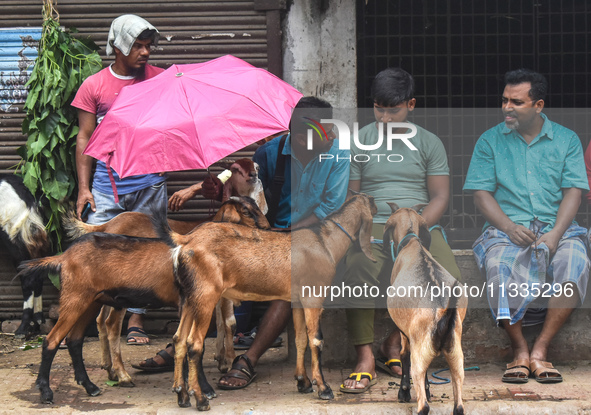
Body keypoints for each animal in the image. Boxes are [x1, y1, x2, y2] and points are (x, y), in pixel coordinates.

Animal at [16, 198, 270, 406]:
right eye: (246, 212)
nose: (267, 228)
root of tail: (65, 257)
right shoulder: (193, 302)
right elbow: (197, 341)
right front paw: (204, 389)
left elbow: (195, 338)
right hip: (75, 298)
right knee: (52, 340)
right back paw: (47, 392)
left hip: (91, 301)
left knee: (75, 339)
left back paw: (92, 385)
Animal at [156, 193, 380, 412]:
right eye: (371, 201)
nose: (380, 207)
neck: (325, 242)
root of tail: (186, 240)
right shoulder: (313, 294)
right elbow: (316, 340)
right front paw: (324, 388)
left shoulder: (297, 299)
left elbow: (300, 339)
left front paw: (303, 382)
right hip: (205, 295)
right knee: (194, 343)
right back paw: (201, 399)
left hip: (189, 297)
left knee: (179, 340)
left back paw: (182, 396)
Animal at [384, 205, 468, 415]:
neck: (412, 242)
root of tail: (443, 314)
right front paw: (429, 389)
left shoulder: (406, 334)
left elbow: (403, 356)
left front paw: (404, 393)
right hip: (455, 355)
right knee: (459, 405)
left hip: (420, 354)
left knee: (423, 405)